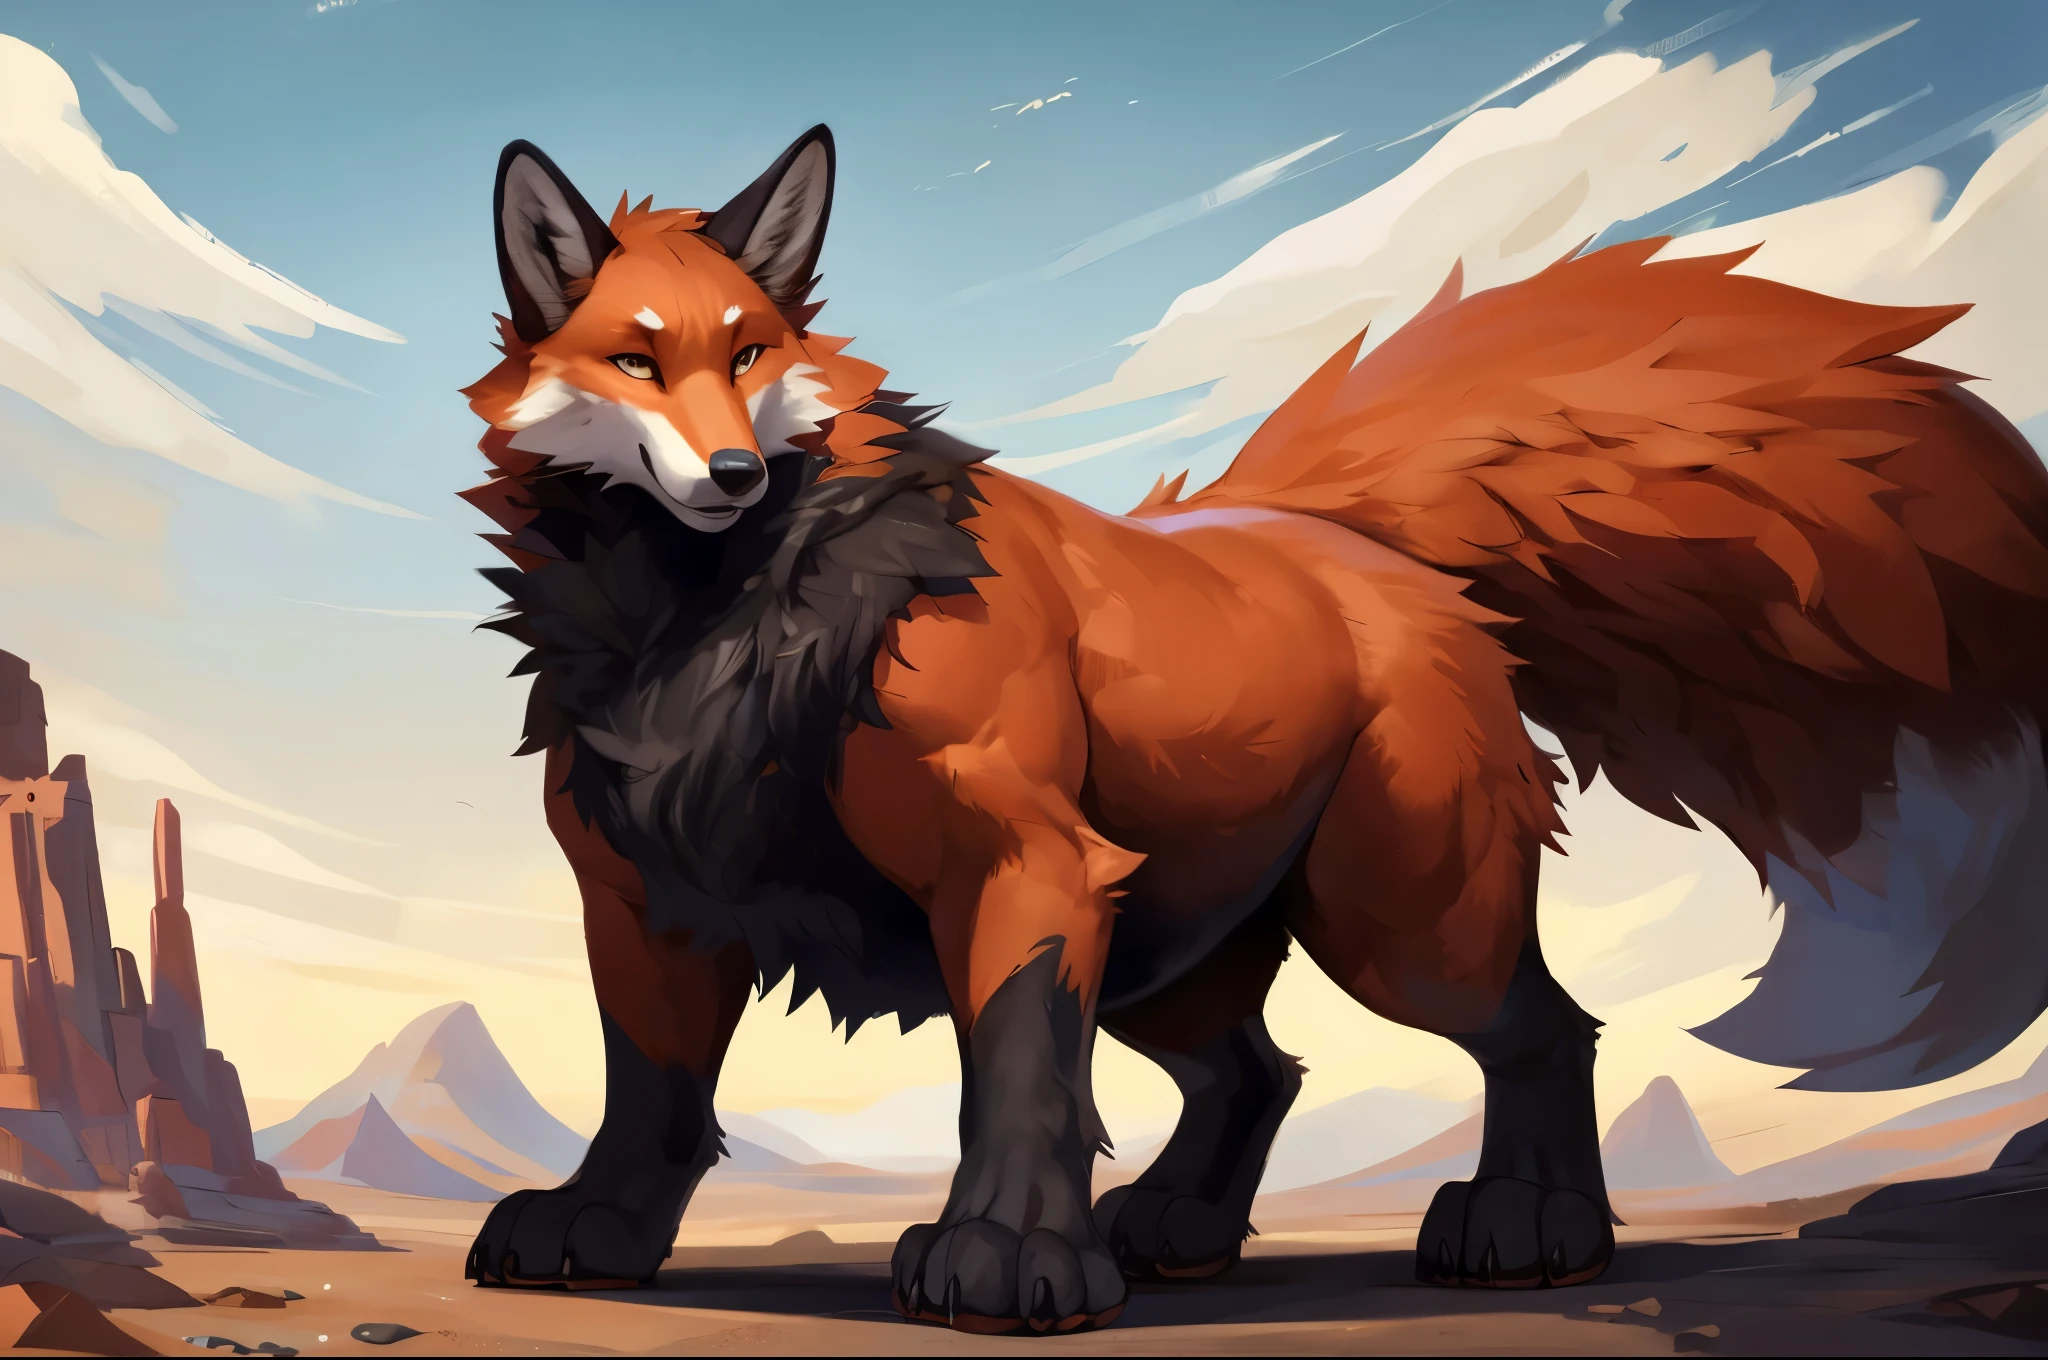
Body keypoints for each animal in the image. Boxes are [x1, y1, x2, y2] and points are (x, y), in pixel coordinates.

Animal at [459, 126, 2048, 1334]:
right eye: (638, 363)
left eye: (751, 353)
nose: (732, 474)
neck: (715, 630)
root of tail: (1349, 540)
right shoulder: (649, 896)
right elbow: (651, 1094)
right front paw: (603, 1229)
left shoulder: (1019, 864)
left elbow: (1016, 1081)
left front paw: (1011, 1257)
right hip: (1168, 938)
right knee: (1257, 1070)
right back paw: (1182, 1223)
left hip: (1399, 925)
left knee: (1544, 1030)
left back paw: (1532, 1223)